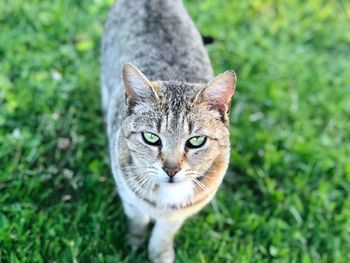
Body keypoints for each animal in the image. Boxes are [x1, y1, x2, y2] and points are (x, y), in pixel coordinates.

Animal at [101, 0, 238, 263]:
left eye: (196, 141)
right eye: (151, 138)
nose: (171, 170)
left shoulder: (181, 211)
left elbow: (165, 232)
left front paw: (159, 252)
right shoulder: (126, 192)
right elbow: (137, 217)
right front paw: (134, 242)